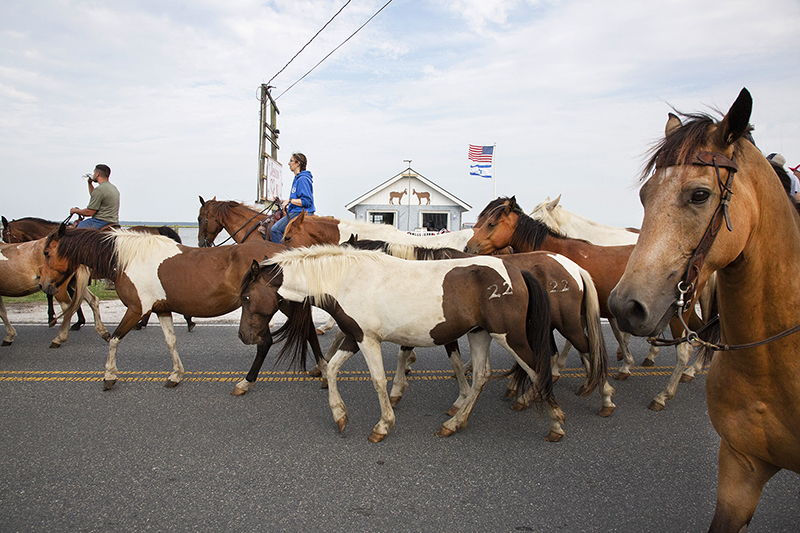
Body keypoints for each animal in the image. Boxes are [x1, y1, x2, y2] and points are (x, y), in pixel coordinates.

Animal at [38, 224, 322, 390]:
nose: (43, 284)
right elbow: (171, 341)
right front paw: (175, 375)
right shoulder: (161, 309)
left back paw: (248, 381)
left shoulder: (136, 310)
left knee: (284, 337)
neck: (130, 257)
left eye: (47, 253)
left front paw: (109, 375)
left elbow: (114, 339)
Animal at [238, 244, 564, 440]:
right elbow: (331, 369)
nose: (245, 336)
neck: (346, 280)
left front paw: (383, 425)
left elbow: (379, 380)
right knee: (482, 375)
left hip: (510, 337)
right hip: (479, 334)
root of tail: (517, 272)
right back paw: (454, 423)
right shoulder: (354, 338)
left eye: (247, 297)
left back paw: (556, 423)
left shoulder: (368, 340)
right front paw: (340, 416)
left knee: (539, 370)